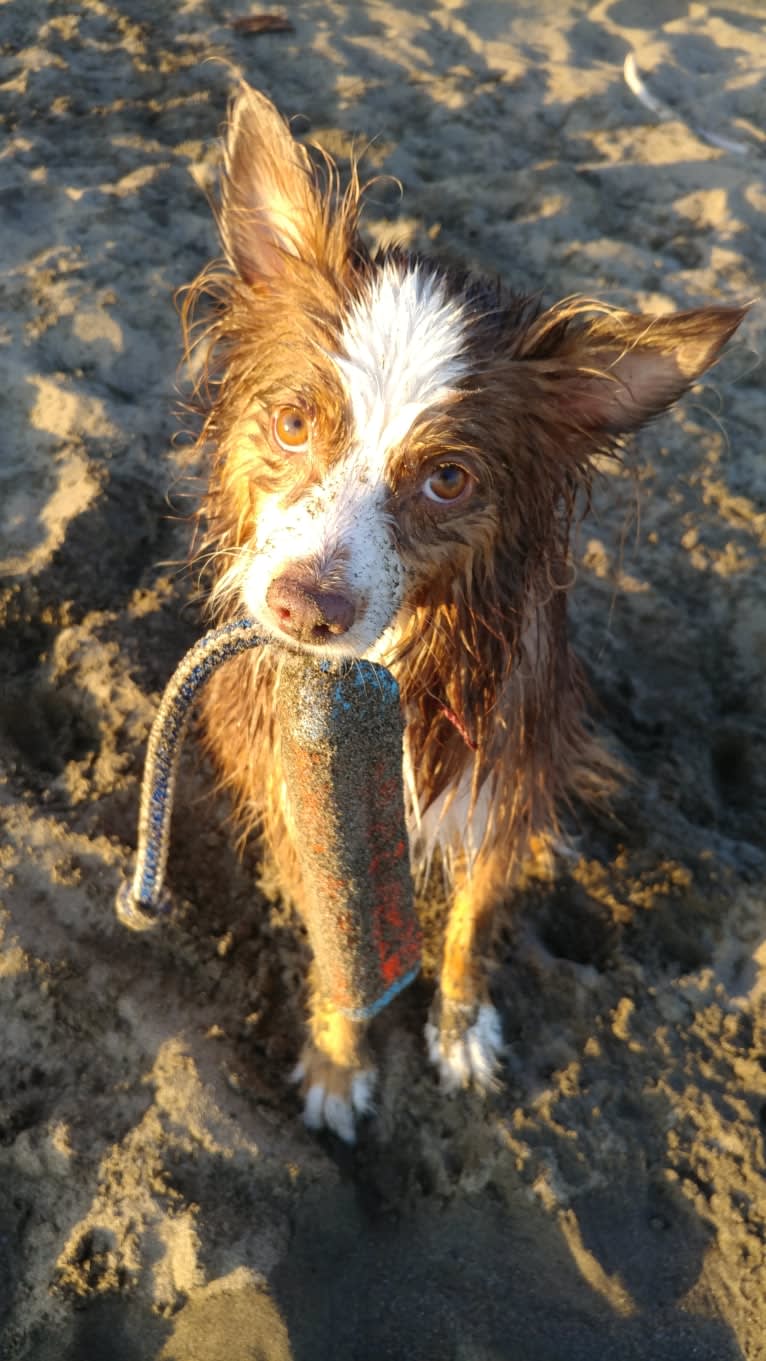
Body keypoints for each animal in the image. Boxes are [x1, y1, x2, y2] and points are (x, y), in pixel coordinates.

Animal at [183, 82, 745, 1137]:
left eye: (448, 478)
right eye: (292, 423)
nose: (305, 608)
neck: (400, 665)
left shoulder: (507, 773)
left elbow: (474, 919)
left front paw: (458, 1025)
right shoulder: (297, 790)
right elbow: (337, 946)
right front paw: (338, 1061)